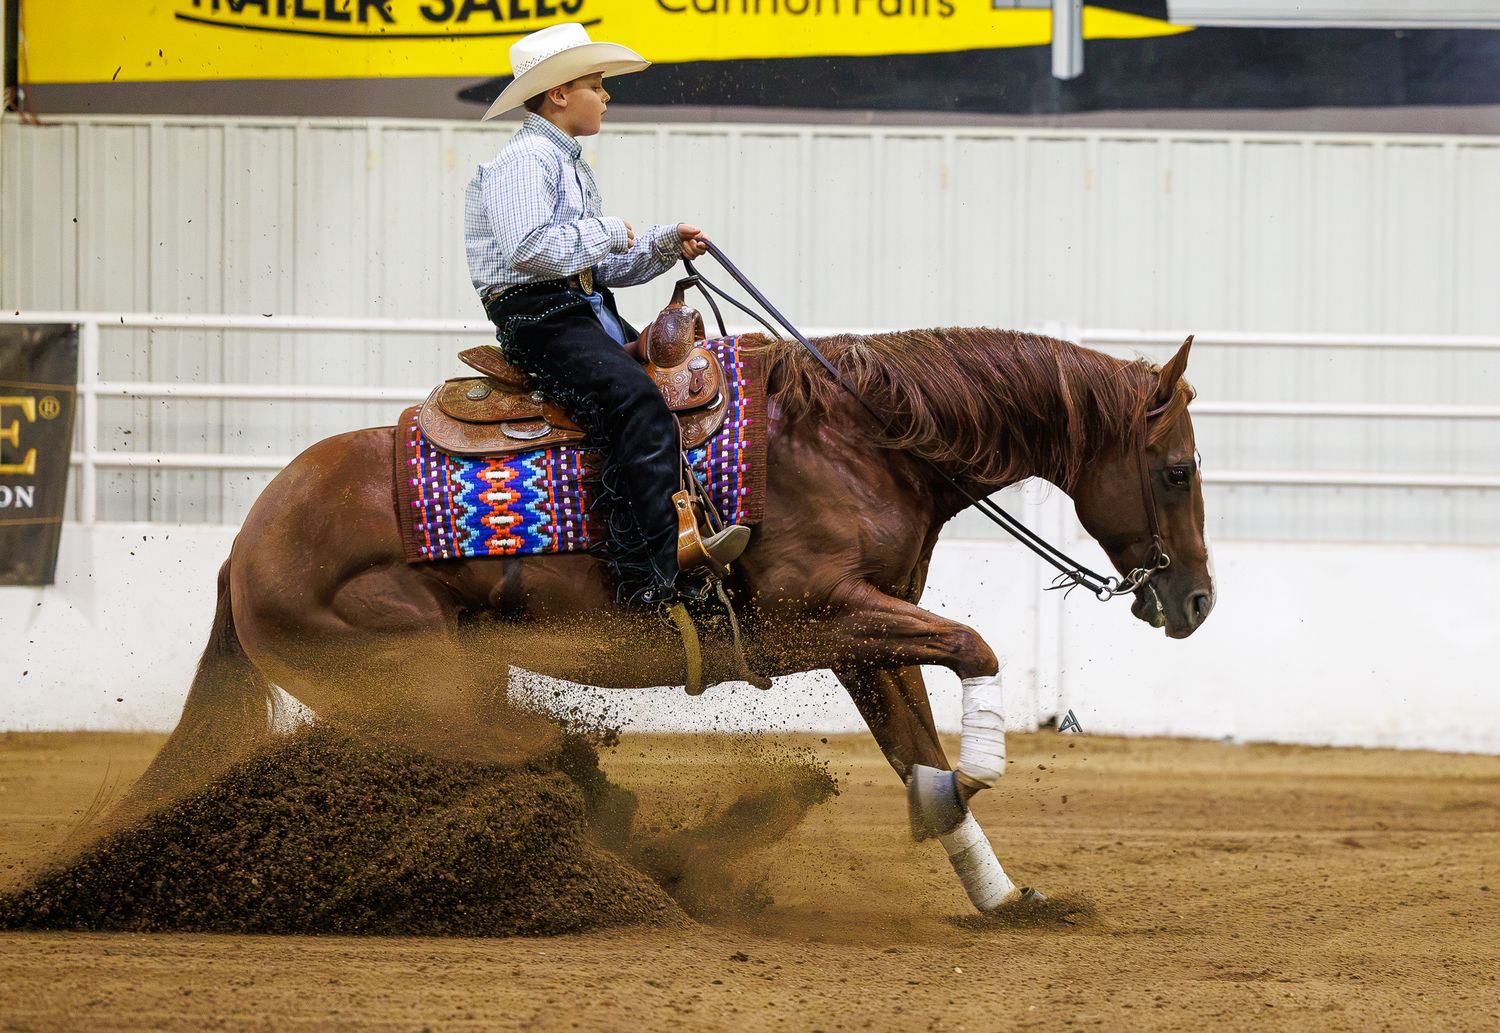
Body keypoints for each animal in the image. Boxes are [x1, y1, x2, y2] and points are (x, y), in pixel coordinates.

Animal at [123, 325, 1213, 913]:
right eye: (1177, 469)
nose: (1197, 601)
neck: (863, 440)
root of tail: (246, 546)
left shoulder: (866, 634)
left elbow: (917, 750)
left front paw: (1004, 895)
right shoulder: (823, 616)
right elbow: (974, 653)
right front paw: (980, 772)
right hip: (423, 685)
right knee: (539, 753)